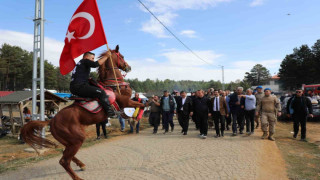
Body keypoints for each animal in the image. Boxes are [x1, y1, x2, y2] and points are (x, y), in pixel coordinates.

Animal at [20, 44, 144, 179]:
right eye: (122, 56)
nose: (128, 67)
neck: (113, 83)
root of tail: (51, 121)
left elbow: (139, 106)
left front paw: (132, 119)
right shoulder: (126, 102)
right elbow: (142, 105)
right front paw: (135, 118)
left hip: (70, 141)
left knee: (65, 153)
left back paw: (81, 164)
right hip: (77, 139)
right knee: (64, 160)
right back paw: (77, 176)